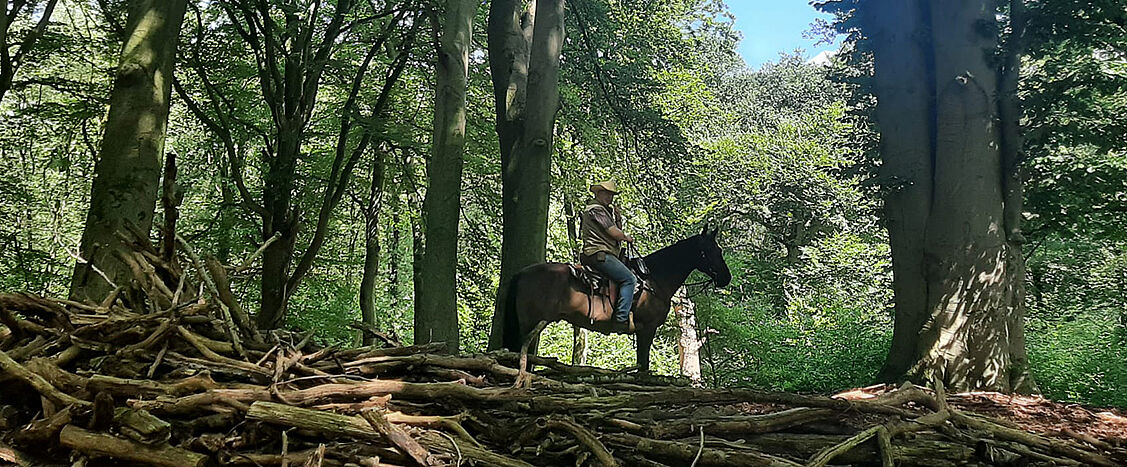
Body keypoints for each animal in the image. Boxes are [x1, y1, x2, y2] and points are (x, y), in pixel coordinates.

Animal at [497, 225, 731, 378]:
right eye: (711, 250)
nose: (726, 278)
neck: (653, 279)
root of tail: (522, 273)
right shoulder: (647, 329)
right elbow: (643, 365)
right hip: (530, 324)